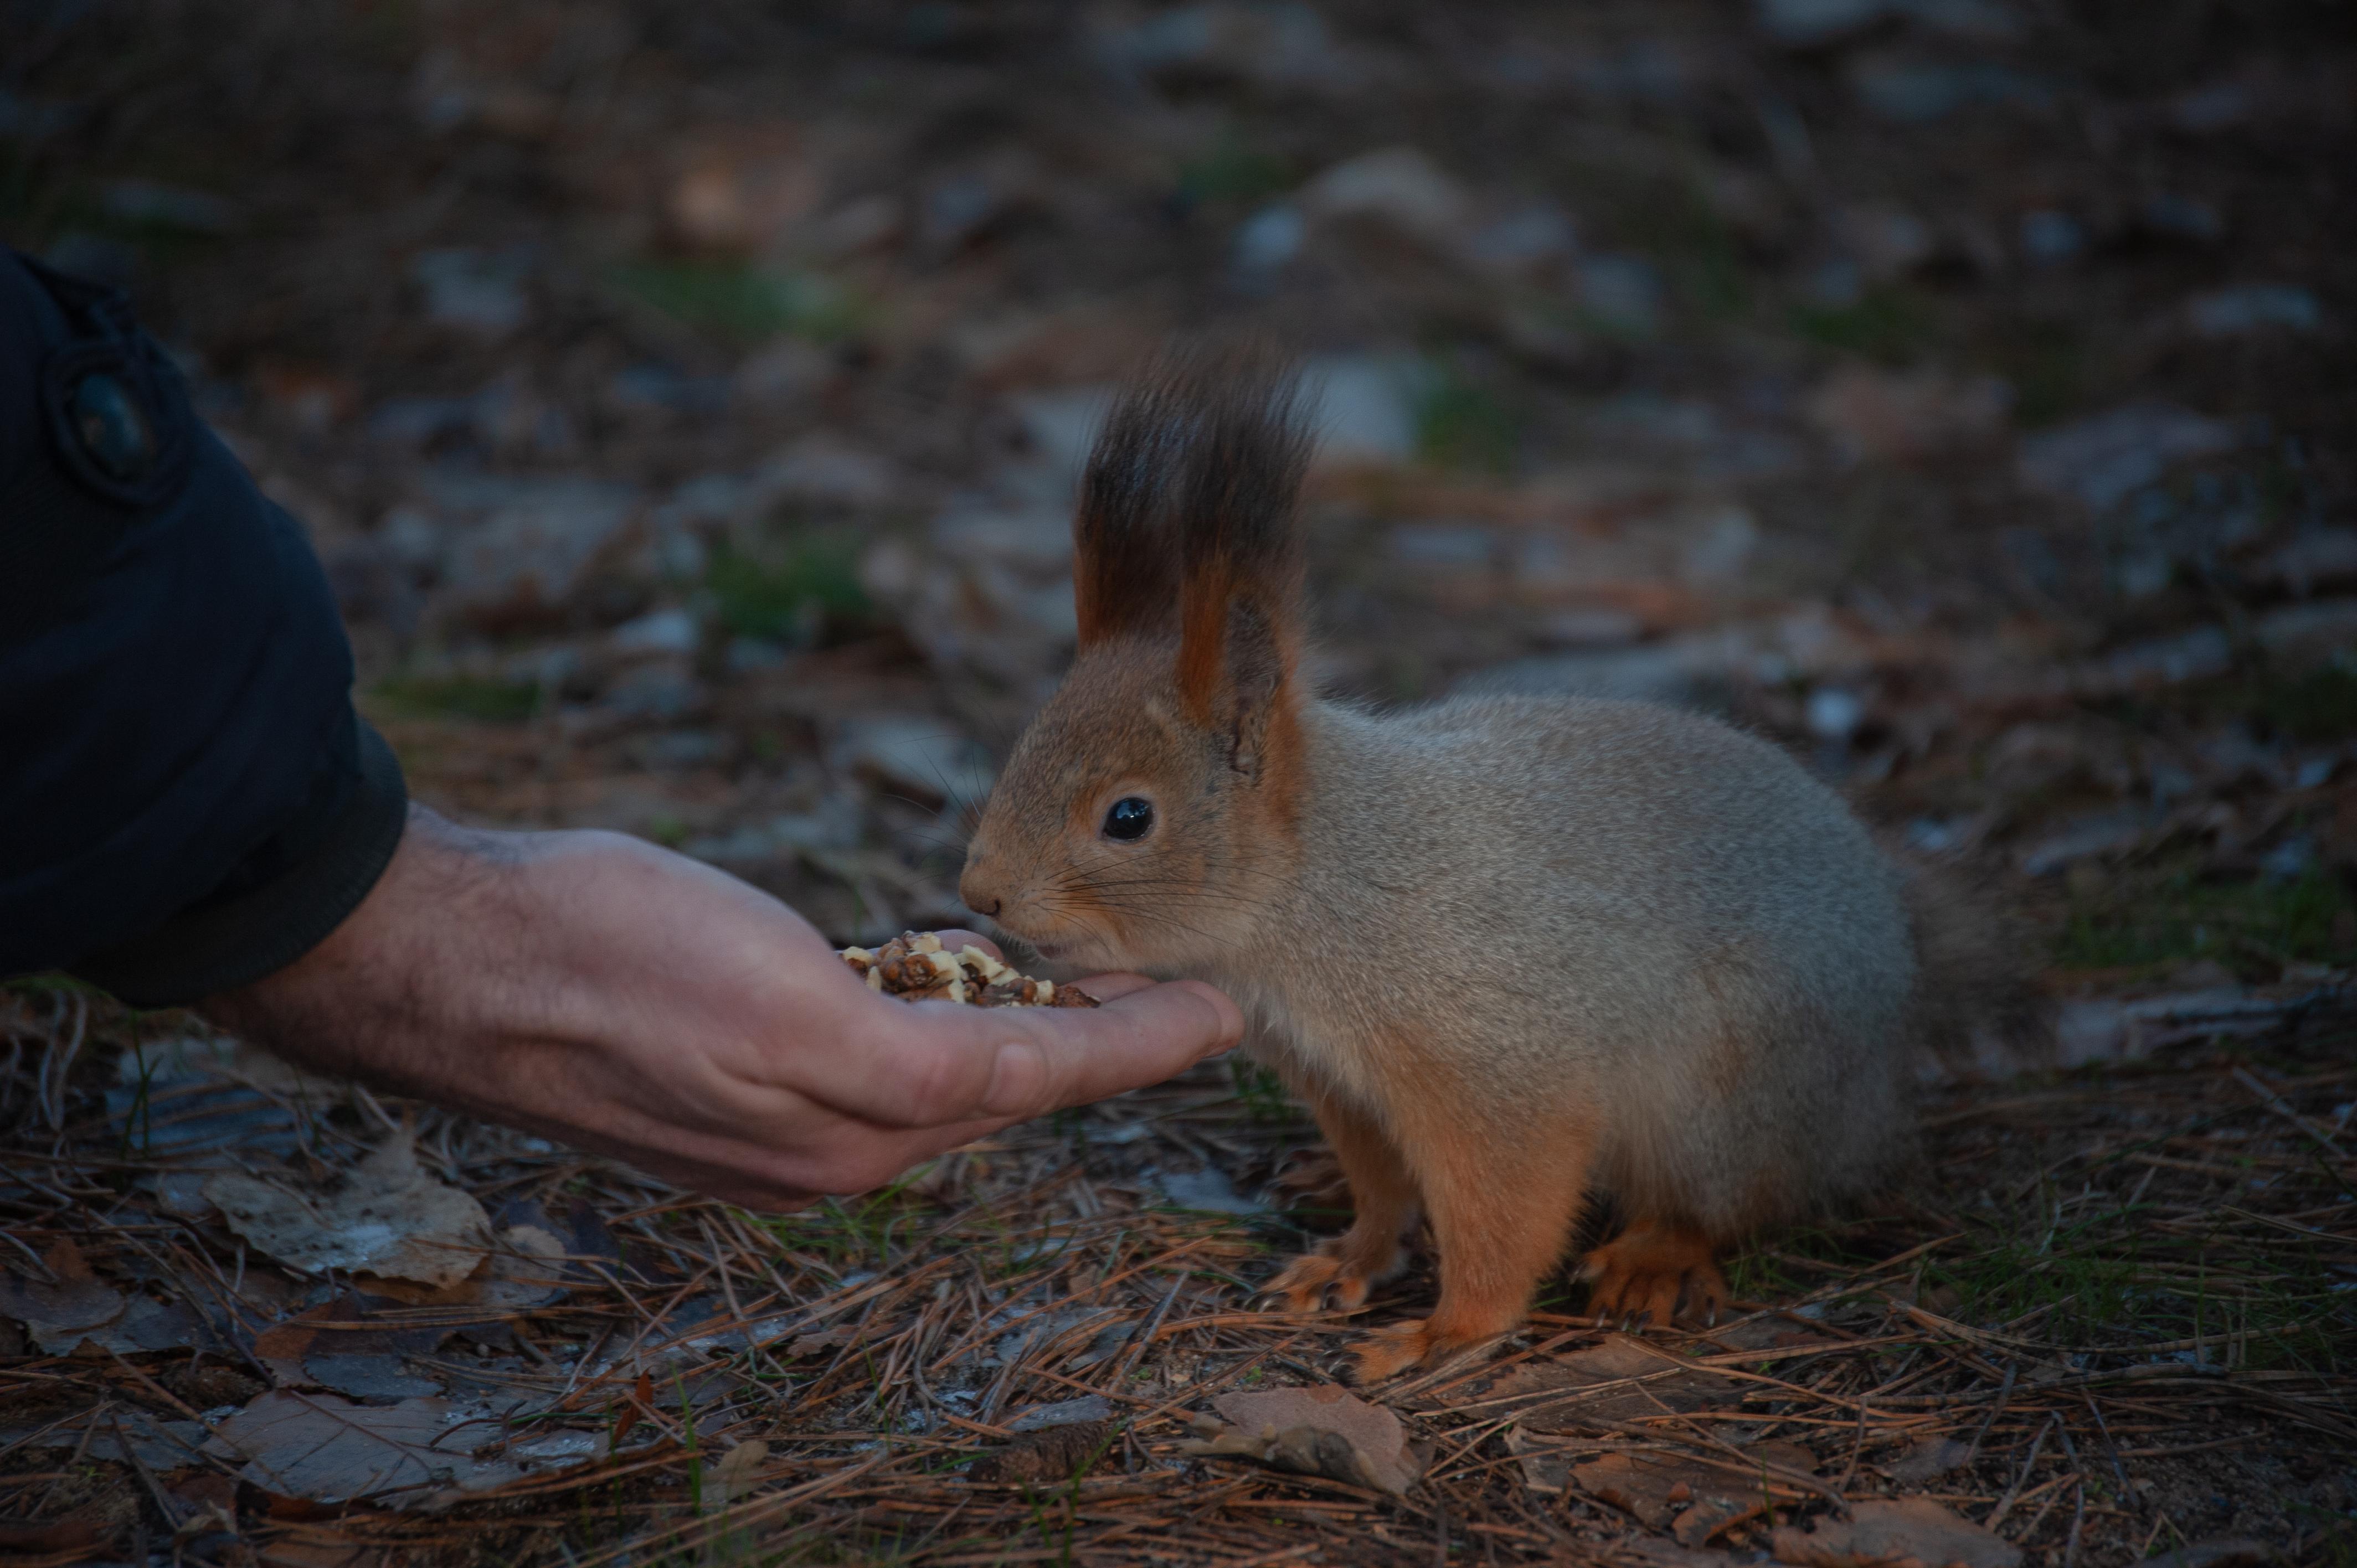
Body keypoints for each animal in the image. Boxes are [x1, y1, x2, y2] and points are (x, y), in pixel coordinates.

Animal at [956, 353, 2008, 1386]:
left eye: (1129, 817)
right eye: (1022, 747)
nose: (980, 893)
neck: (1319, 893)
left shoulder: (1492, 1061)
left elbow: (1508, 1205)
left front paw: (1450, 1331)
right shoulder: (1339, 1080)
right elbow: (1384, 1186)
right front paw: (1351, 1258)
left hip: (1729, 1100)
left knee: (1734, 1200)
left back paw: (1656, 1256)